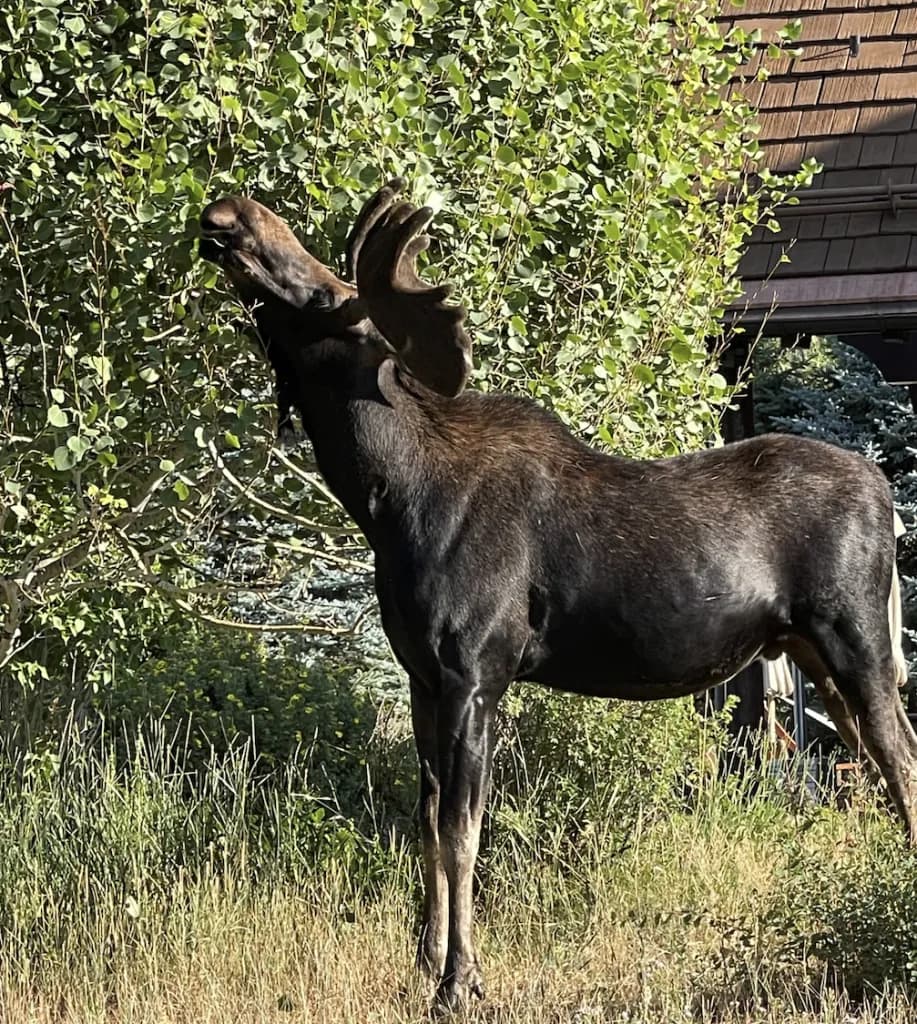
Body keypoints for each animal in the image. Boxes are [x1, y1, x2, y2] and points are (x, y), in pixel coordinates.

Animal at [199, 179, 917, 1010]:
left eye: (322, 293)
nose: (227, 215)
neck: (386, 499)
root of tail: (888, 499)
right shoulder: (421, 678)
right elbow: (424, 819)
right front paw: (423, 963)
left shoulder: (475, 671)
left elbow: (461, 829)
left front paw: (460, 981)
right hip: (811, 653)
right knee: (879, 761)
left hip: (856, 639)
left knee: (900, 760)